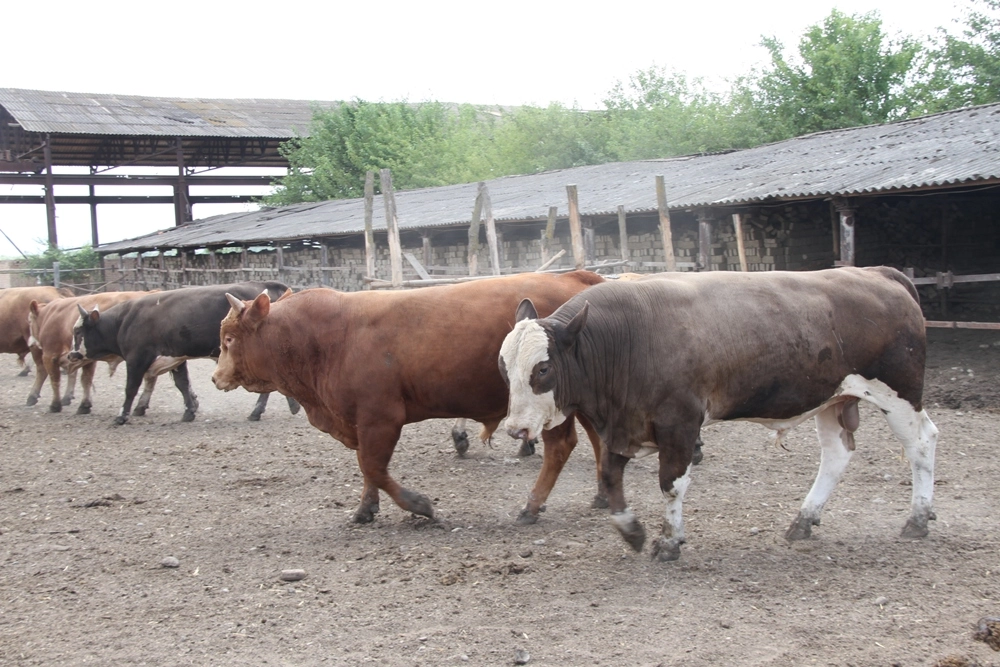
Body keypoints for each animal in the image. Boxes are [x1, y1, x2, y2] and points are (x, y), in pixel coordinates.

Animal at [504, 268, 940, 560]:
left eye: (543, 369)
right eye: (503, 366)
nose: (515, 429)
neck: (631, 335)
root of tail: (876, 272)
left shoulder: (679, 424)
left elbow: (671, 485)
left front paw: (669, 541)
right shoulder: (624, 425)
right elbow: (610, 478)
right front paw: (632, 531)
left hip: (898, 394)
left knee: (922, 442)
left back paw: (918, 519)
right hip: (834, 400)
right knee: (836, 456)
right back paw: (804, 520)